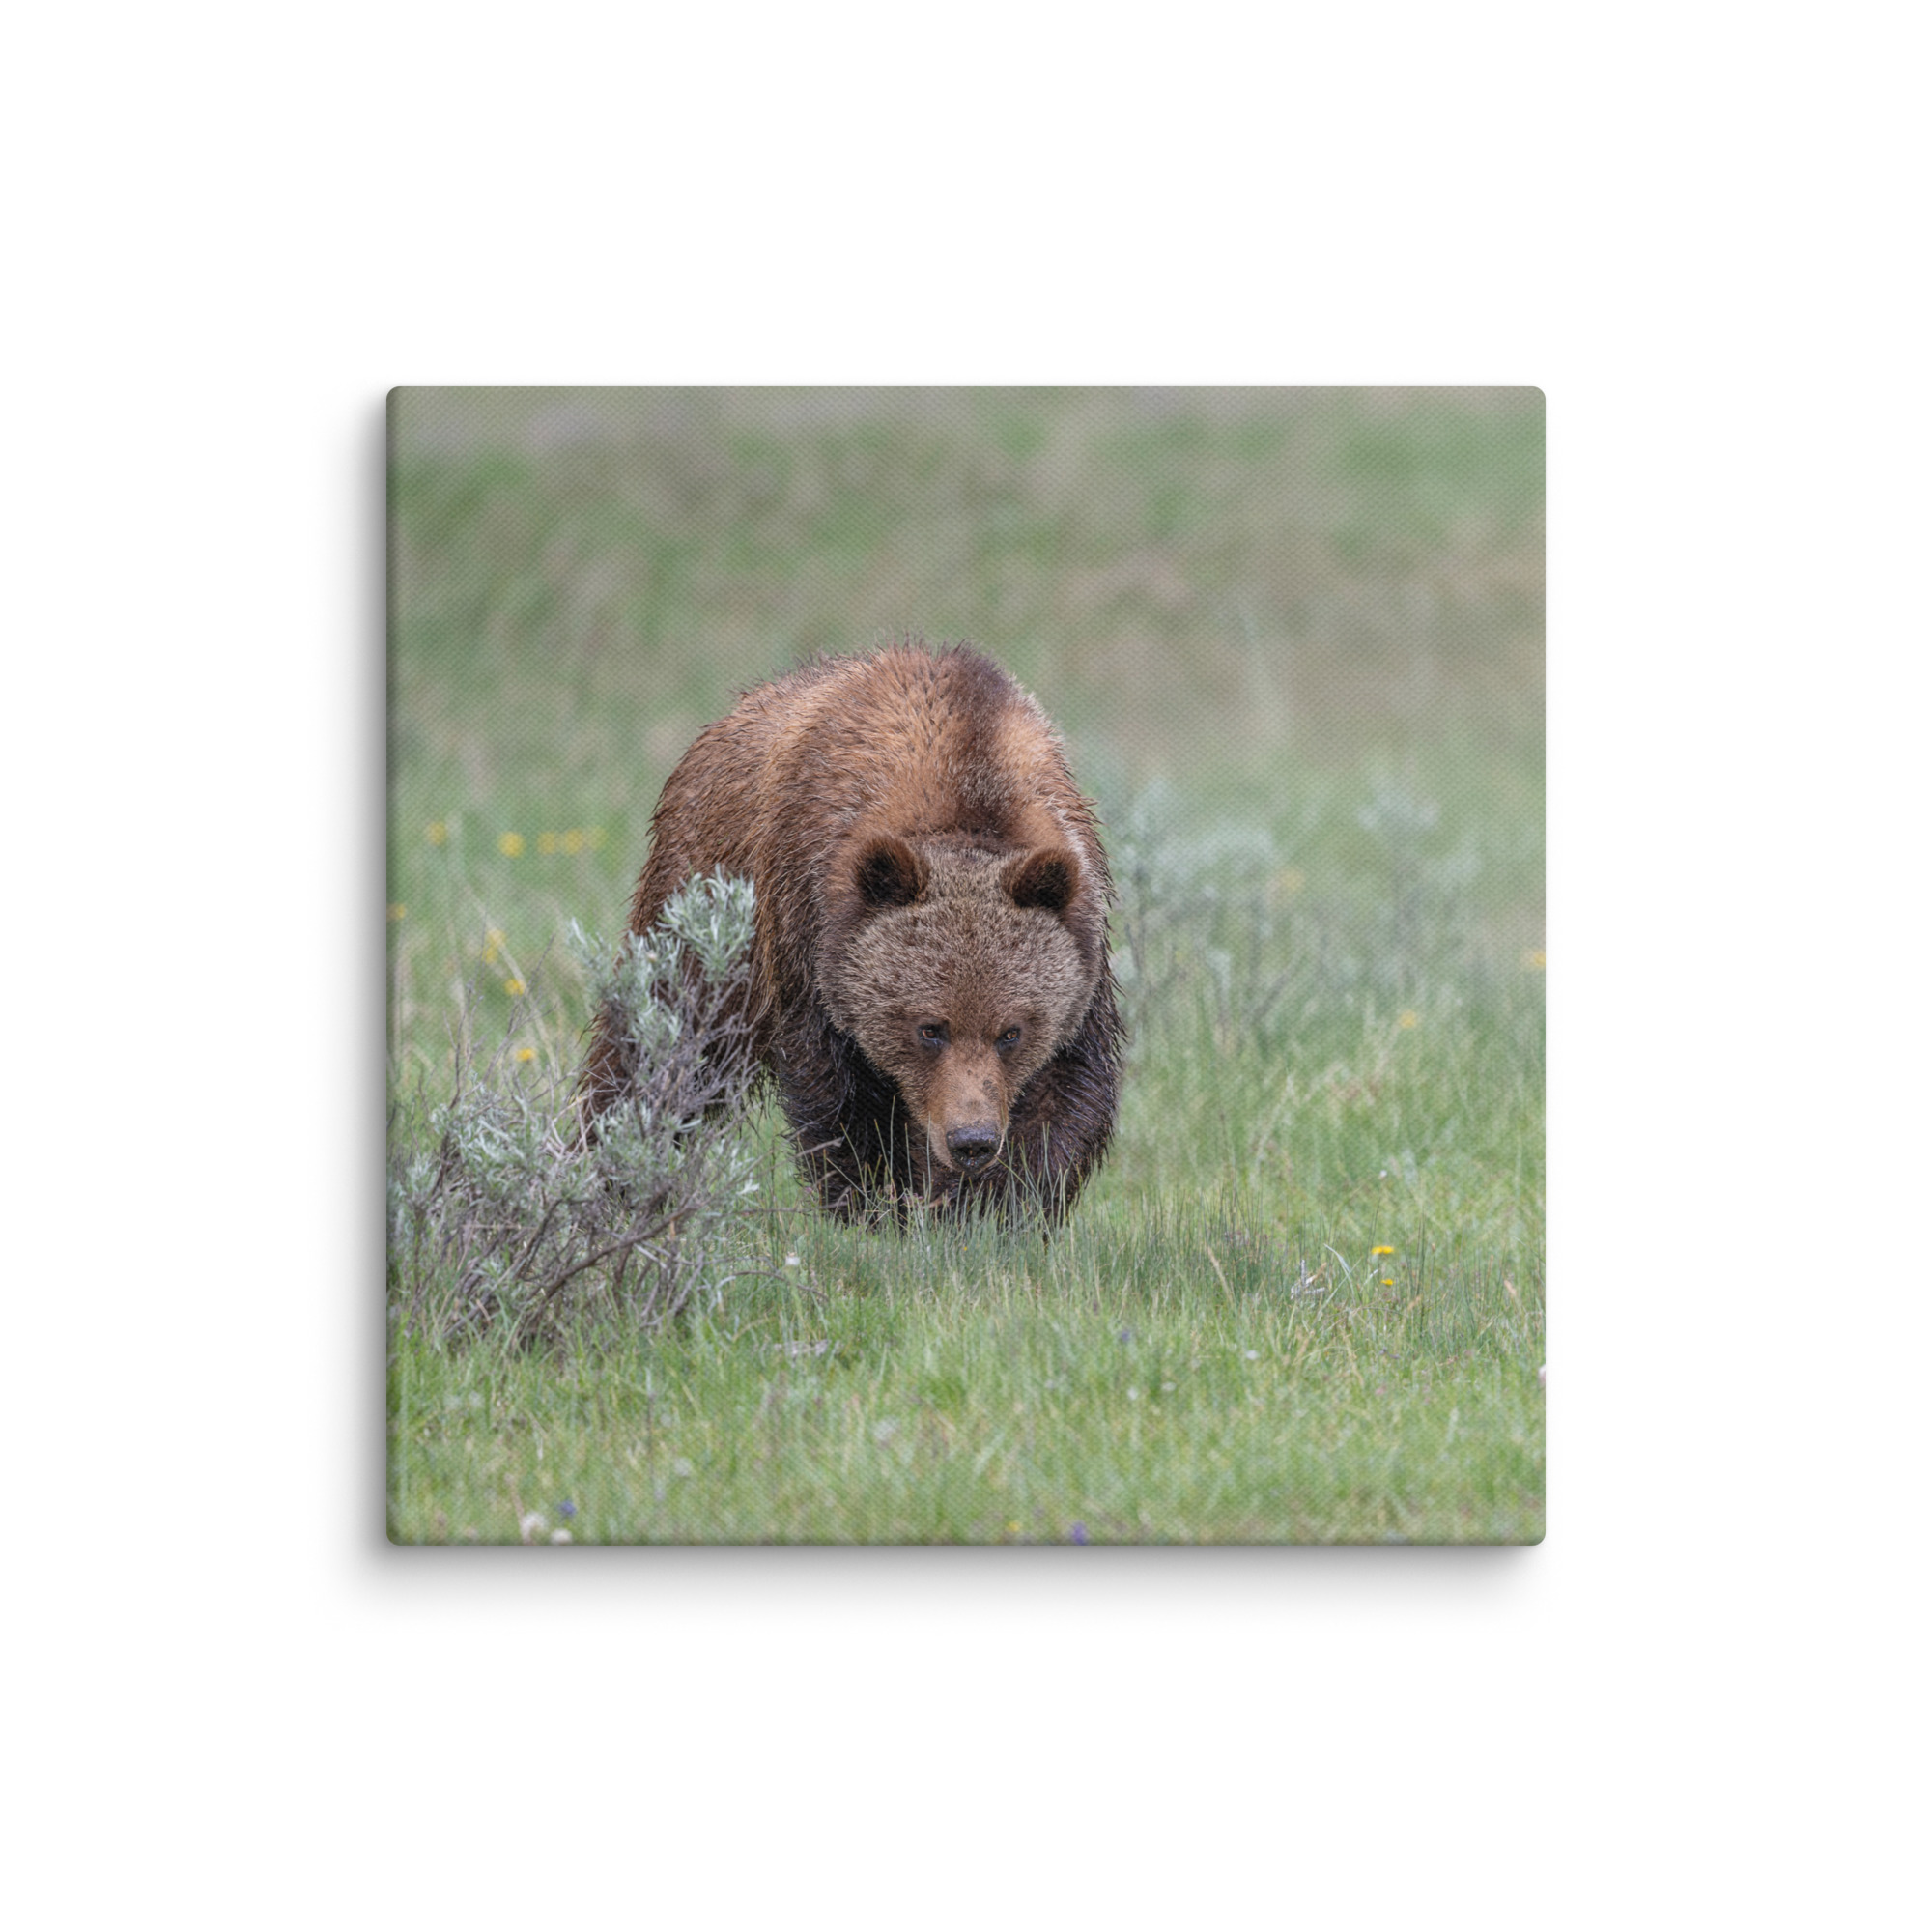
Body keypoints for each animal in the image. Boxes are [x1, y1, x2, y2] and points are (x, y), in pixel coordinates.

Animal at [580, 641, 1126, 1224]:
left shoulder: (1081, 948)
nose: (971, 1140)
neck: (967, 783)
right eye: (929, 1028)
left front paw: (995, 1209)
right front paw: (877, 1204)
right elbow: (841, 1098)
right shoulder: (809, 934)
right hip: (703, 904)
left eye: (1011, 1032)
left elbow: (1064, 1094)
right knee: (661, 1040)